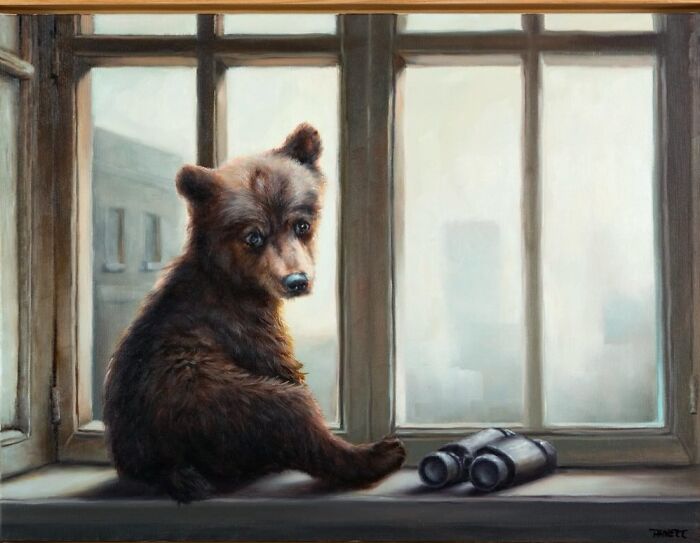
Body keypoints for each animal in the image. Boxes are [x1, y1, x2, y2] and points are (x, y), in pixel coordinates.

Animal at [103, 123, 406, 503]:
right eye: (253, 236)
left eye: (301, 225)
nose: (296, 281)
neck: (234, 281)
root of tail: (158, 464)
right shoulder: (248, 332)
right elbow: (285, 368)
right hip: (223, 402)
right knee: (296, 416)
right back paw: (381, 453)